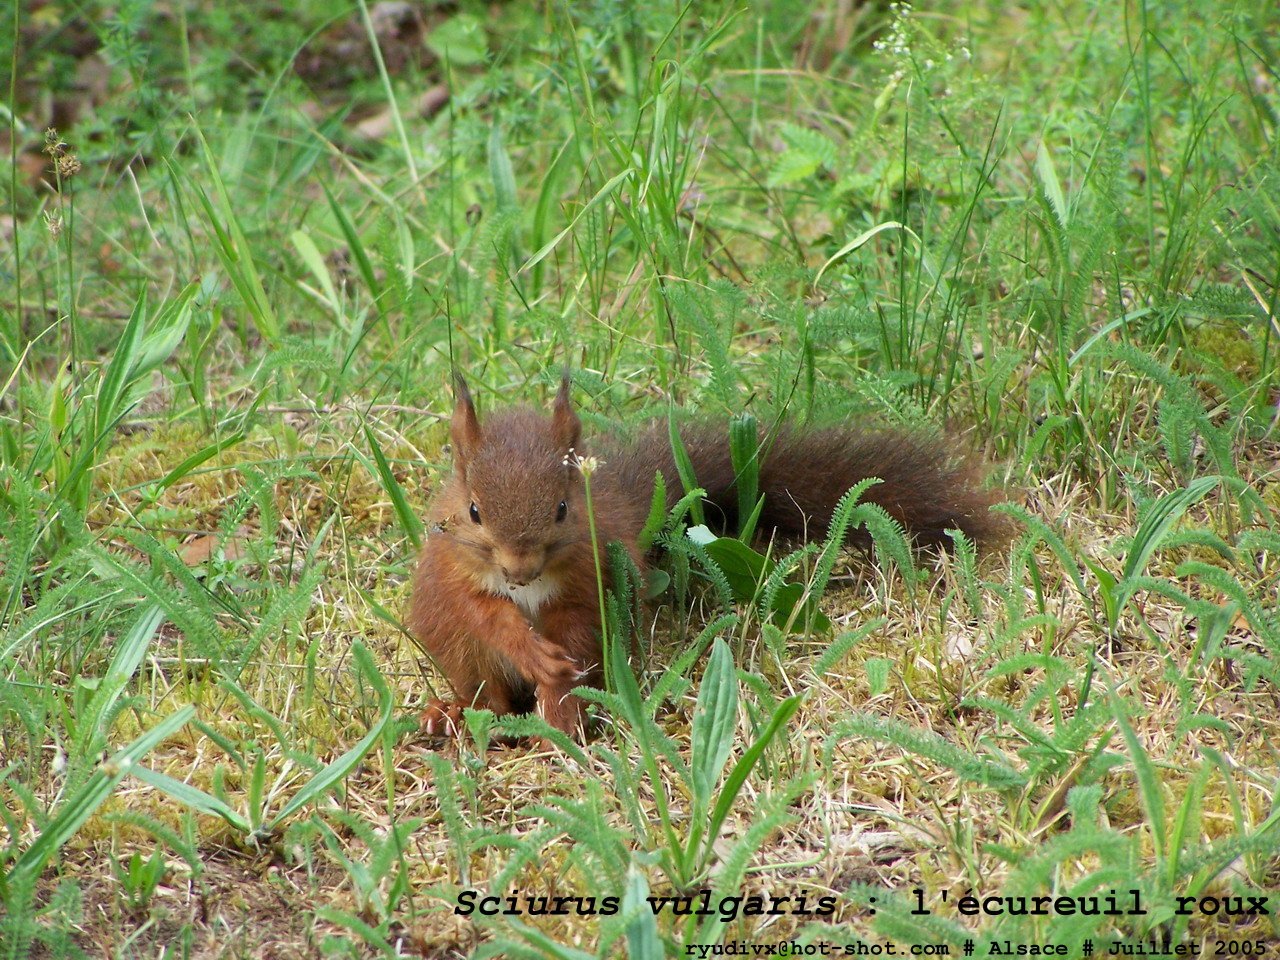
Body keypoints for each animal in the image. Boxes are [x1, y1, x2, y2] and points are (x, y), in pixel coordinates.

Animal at [404, 376, 1003, 737]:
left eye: (562, 508)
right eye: (473, 511)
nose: (520, 571)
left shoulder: (588, 575)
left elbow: (573, 626)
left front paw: (560, 699)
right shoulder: (455, 580)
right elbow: (486, 617)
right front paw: (530, 653)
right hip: (463, 658)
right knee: (491, 700)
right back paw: (451, 714)